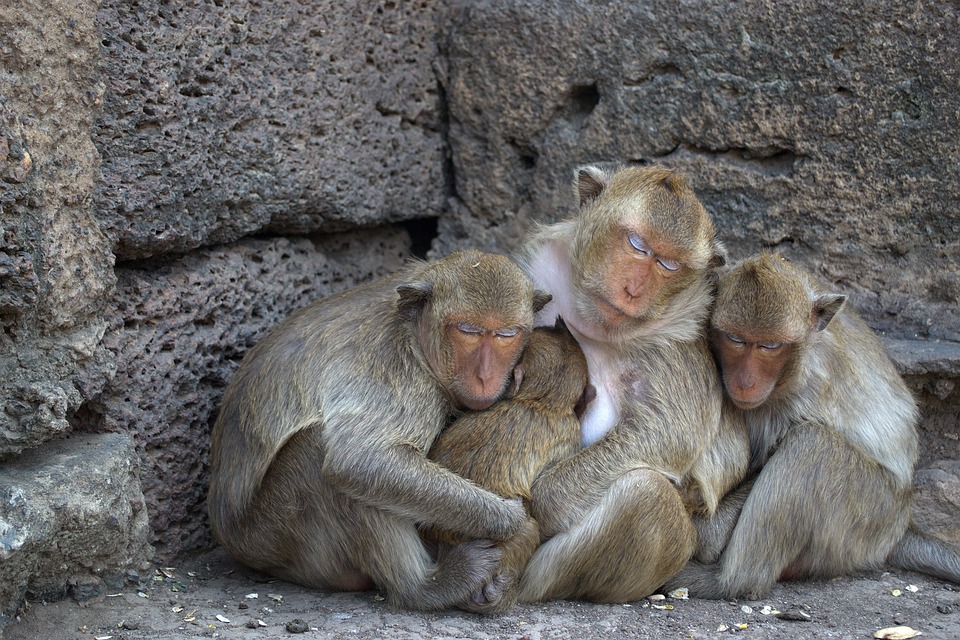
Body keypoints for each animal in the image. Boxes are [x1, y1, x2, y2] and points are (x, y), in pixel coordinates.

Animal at [210, 249, 556, 608]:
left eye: (507, 335)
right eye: (468, 331)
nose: (485, 376)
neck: (415, 336)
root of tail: (233, 540)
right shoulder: (399, 373)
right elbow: (361, 460)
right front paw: (514, 522)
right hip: (276, 536)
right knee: (318, 451)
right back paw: (424, 587)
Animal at [510, 162, 752, 604]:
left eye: (669, 265)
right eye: (638, 245)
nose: (634, 289)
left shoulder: (676, 342)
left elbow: (667, 432)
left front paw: (544, 504)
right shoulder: (539, 269)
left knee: (648, 495)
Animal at [672, 251, 960, 600]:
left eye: (770, 346)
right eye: (735, 339)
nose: (745, 382)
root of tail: (901, 526)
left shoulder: (801, 397)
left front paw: (704, 532)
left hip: (868, 517)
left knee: (812, 443)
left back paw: (728, 581)